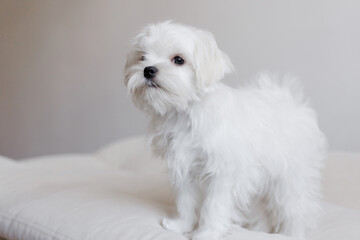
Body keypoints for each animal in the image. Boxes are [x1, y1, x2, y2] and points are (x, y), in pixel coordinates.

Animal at [124, 21, 326, 240]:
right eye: (142, 57)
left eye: (178, 60)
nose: (148, 70)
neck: (186, 112)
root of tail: (289, 101)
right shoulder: (184, 169)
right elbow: (186, 201)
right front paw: (180, 226)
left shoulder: (222, 173)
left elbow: (213, 205)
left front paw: (207, 233)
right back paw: (259, 230)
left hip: (289, 179)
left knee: (294, 210)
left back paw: (291, 233)